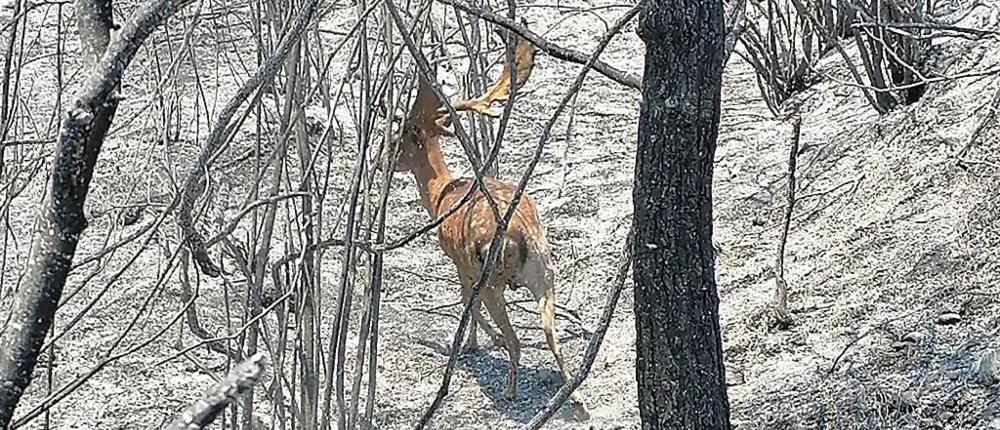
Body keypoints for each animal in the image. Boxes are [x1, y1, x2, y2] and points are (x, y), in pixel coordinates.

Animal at [378, 37, 588, 420]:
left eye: (398, 141)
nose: (381, 160)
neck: (440, 194)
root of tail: (521, 234)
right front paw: (479, 342)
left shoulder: (460, 262)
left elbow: (466, 304)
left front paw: (476, 343)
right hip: (545, 270)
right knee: (552, 334)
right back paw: (576, 398)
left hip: (493, 277)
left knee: (516, 339)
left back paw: (510, 388)